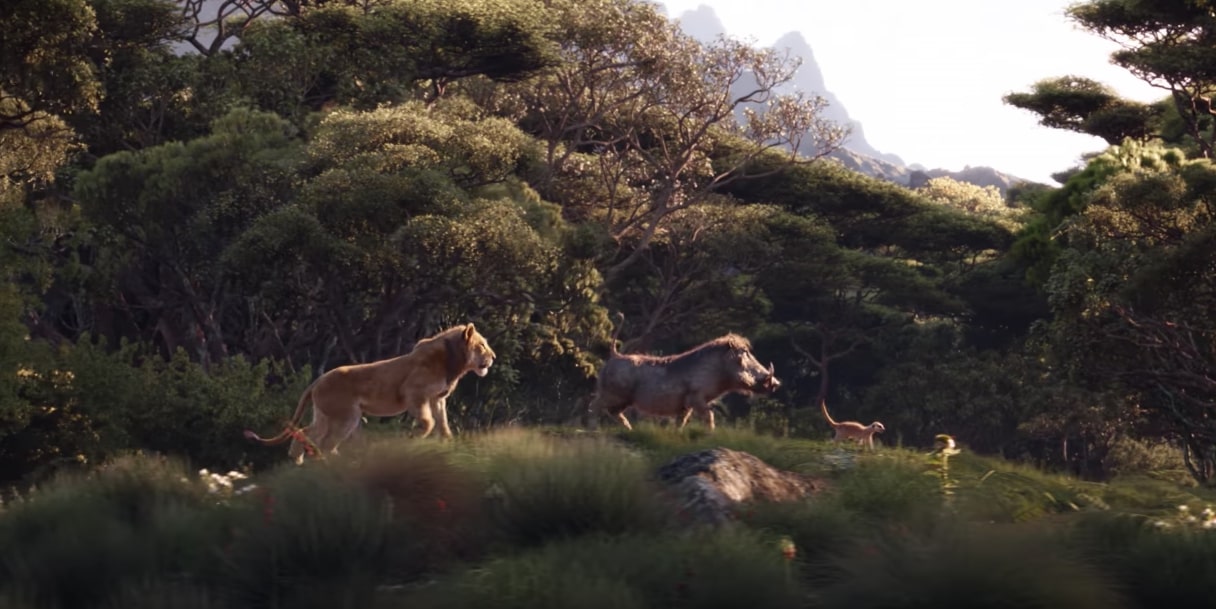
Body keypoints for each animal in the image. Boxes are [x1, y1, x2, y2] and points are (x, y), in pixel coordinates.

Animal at [245, 323, 496, 463]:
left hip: (326, 415)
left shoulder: (437, 399)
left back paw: (297, 459)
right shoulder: (414, 394)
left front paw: (448, 443)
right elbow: (428, 422)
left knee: (306, 432)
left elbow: (443, 423)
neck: (453, 363)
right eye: (482, 345)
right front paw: (413, 438)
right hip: (347, 416)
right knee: (326, 443)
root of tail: (317, 381)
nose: (493, 357)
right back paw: (338, 464)